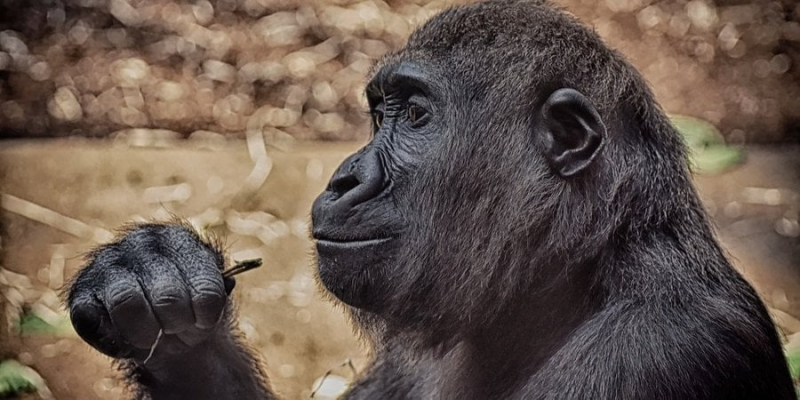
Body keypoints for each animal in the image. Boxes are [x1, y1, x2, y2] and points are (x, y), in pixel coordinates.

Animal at [64, 0, 792, 398]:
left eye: (414, 115)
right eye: (377, 112)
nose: (344, 177)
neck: (578, 271)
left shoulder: (654, 350)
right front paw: (155, 284)